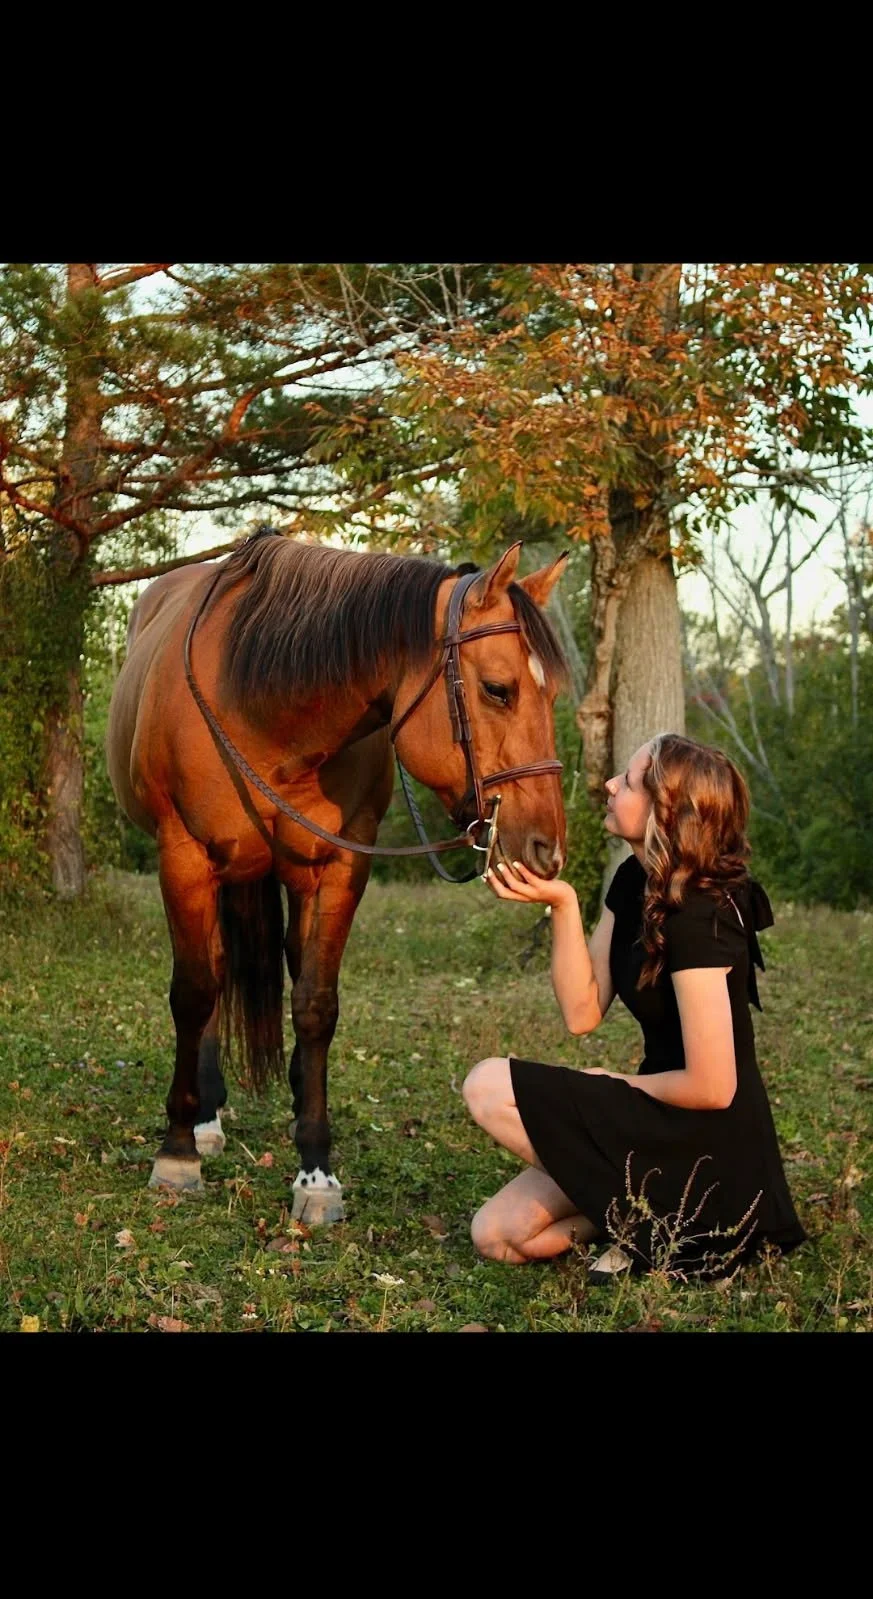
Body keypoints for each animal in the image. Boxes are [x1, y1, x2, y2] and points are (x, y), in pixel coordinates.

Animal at [106, 528, 569, 1224]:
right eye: (498, 689)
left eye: (554, 696)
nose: (546, 847)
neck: (261, 704)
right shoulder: (183, 857)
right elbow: (192, 993)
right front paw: (177, 1152)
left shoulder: (339, 867)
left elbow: (316, 1006)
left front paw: (316, 1171)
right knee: (211, 976)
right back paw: (205, 1119)